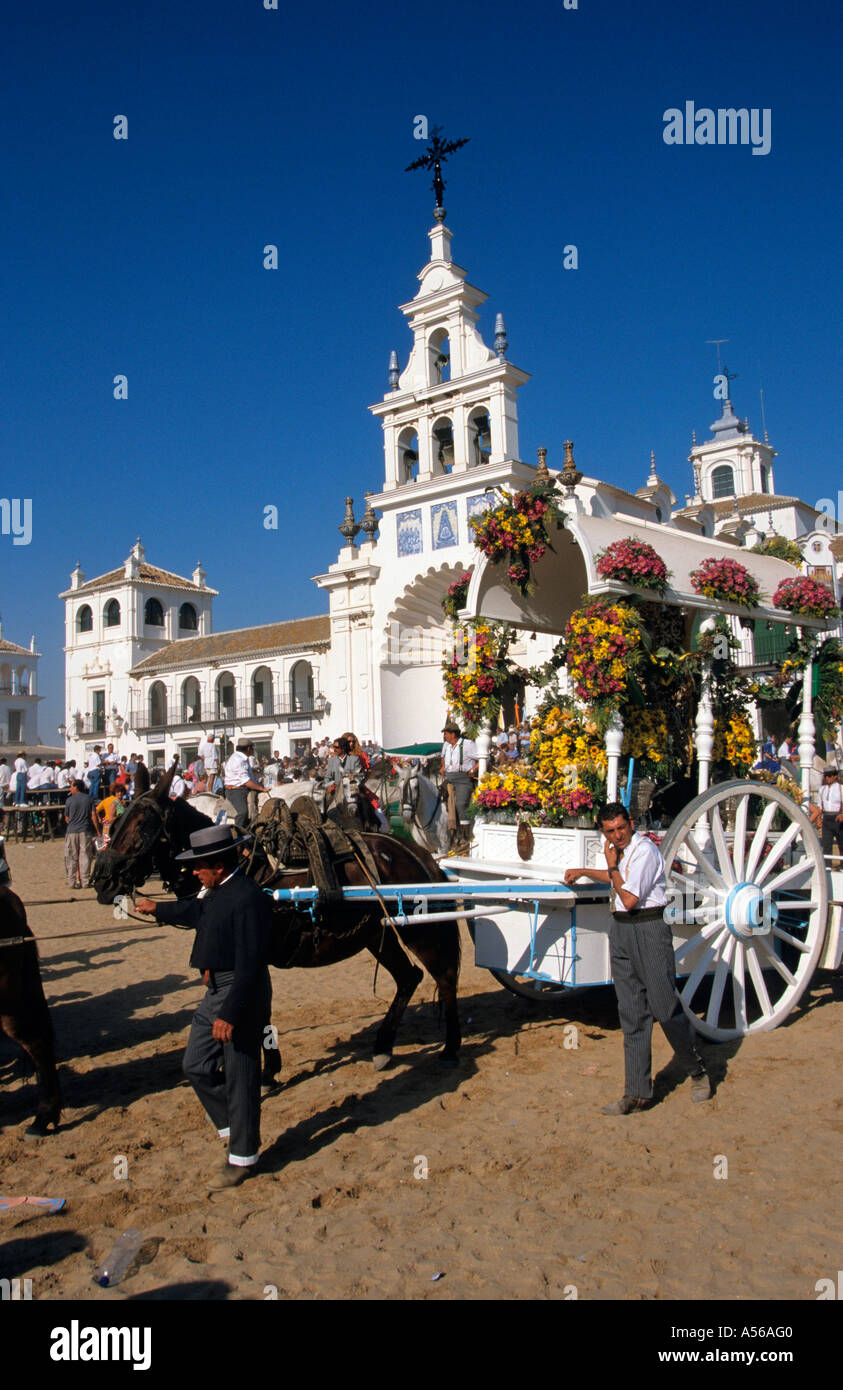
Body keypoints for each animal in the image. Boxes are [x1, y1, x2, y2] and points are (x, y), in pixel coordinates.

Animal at [93, 772, 461, 1061]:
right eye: (120, 819)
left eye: (143, 826)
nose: (101, 878)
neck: (239, 867)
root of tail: (413, 850)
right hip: (377, 935)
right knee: (409, 978)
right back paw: (384, 1045)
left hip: (421, 932)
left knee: (445, 977)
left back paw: (450, 1048)